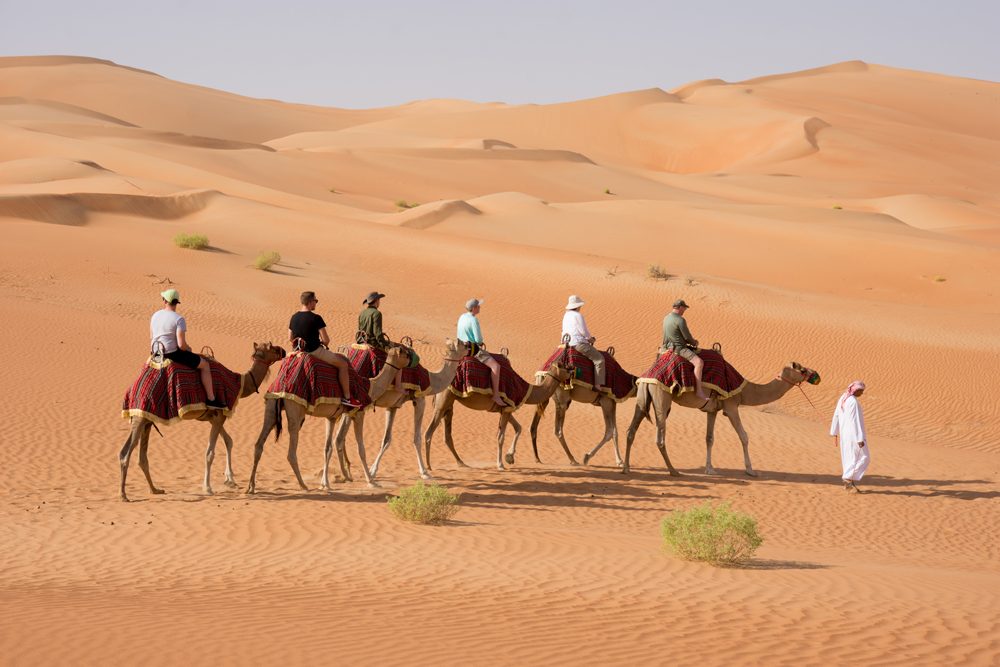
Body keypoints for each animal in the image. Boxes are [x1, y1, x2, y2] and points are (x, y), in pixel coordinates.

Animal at [120, 342, 290, 504]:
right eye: (272, 347)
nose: (284, 351)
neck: (240, 384)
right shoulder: (218, 415)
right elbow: (210, 453)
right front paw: (207, 488)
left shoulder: (214, 417)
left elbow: (229, 441)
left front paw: (230, 480)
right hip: (142, 416)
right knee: (125, 453)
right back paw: (124, 495)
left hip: (146, 419)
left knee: (141, 457)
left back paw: (154, 489)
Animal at [246, 348, 406, 494]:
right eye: (405, 352)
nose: (411, 358)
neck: (368, 387)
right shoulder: (358, 414)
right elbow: (361, 449)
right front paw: (371, 482)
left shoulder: (332, 417)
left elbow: (327, 448)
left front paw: (325, 484)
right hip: (295, 409)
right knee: (291, 452)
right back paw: (303, 485)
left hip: (271, 406)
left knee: (258, 444)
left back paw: (251, 487)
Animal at [332, 336, 464, 482]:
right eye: (463, 344)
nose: (471, 347)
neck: (431, 380)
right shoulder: (420, 399)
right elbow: (417, 438)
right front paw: (424, 472)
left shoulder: (393, 406)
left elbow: (386, 439)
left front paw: (373, 471)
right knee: (339, 437)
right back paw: (346, 474)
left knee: (340, 437)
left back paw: (347, 472)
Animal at [424, 358, 576, 472]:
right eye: (564, 365)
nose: (573, 369)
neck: (525, 390)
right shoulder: (507, 408)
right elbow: (501, 437)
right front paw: (501, 464)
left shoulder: (505, 409)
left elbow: (518, 428)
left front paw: (510, 457)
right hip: (442, 402)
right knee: (428, 432)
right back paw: (428, 467)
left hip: (449, 404)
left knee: (447, 435)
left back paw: (461, 463)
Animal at [616, 362, 820, 478]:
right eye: (802, 369)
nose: (816, 375)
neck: (746, 390)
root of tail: (647, 377)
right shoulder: (731, 406)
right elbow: (744, 436)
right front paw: (751, 470)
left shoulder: (712, 410)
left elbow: (709, 438)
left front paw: (710, 469)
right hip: (662, 400)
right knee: (659, 438)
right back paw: (673, 471)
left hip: (643, 397)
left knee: (631, 431)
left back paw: (626, 468)